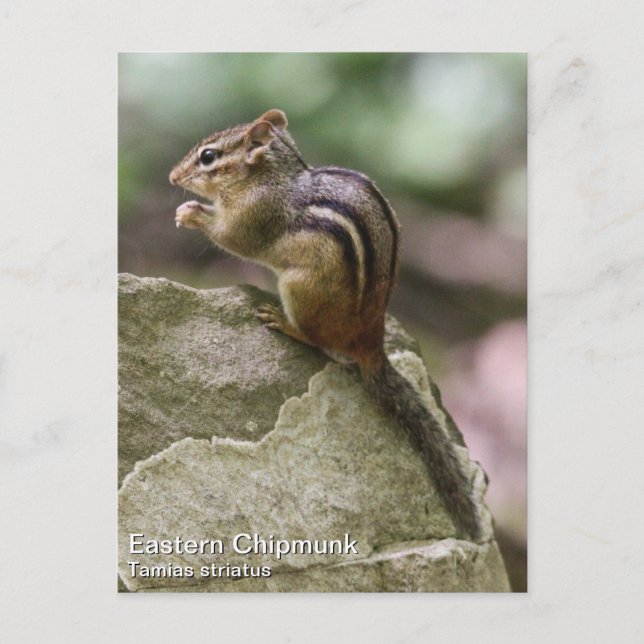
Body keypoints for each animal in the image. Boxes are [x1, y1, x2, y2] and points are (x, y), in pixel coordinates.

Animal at [169, 109, 482, 541]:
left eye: (208, 157)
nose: (171, 177)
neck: (270, 178)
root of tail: (370, 343)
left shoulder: (253, 218)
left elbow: (232, 238)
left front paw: (192, 213)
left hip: (299, 288)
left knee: (316, 340)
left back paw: (283, 322)